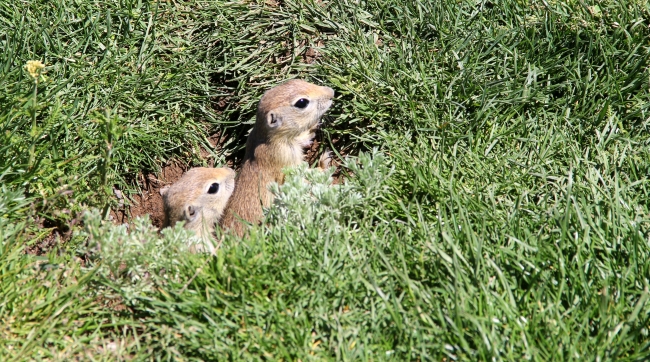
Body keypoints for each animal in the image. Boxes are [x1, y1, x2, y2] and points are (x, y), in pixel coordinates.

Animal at [221, 79, 334, 235]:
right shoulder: (285, 158)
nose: (331, 92)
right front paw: (324, 162)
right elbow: (301, 178)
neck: (265, 137)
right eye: (302, 102)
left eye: (297, 80)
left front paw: (312, 129)